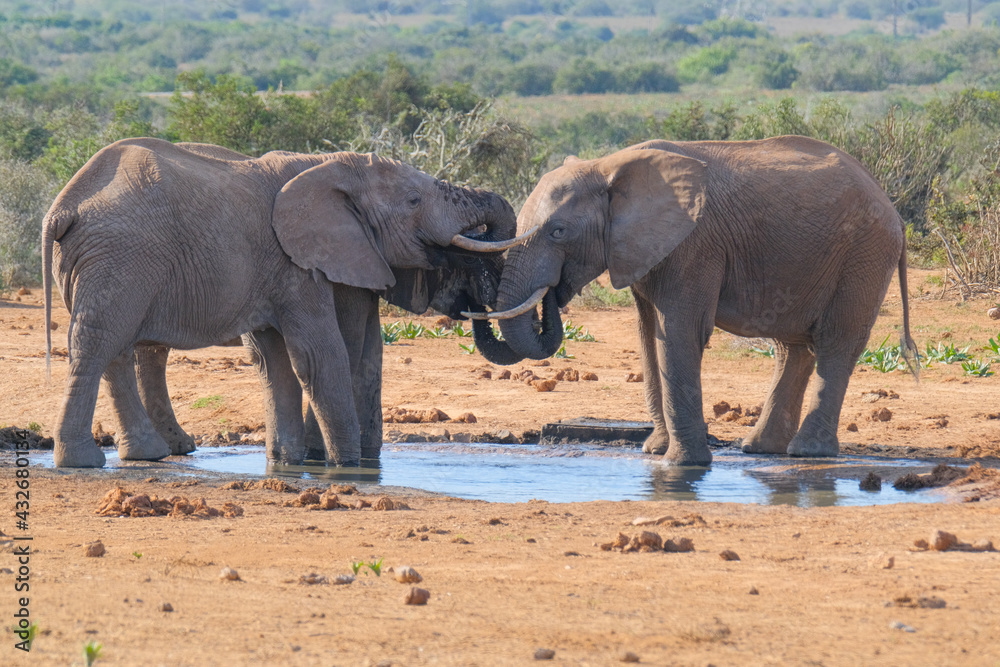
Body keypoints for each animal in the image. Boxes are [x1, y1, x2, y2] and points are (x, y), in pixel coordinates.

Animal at [43, 137, 530, 468]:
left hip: (111, 264)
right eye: (413, 201)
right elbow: (321, 354)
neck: (331, 167)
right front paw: (346, 467)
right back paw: (86, 461)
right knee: (99, 343)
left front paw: (291, 462)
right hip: (120, 261)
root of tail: (64, 205)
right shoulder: (299, 262)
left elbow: (282, 358)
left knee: (118, 347)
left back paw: (149, 454)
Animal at [471, 136, 918, 466]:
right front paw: (655, 451)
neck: (609, 166)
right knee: (792, 347)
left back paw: (808, 453)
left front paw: (684, 464)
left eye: (558, 231)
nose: (554, 292)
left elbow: (680, 333)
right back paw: (760, 449)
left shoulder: (694, 246)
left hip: (863, 255)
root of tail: (893, 210)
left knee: (836, 342)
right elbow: (648, 336)